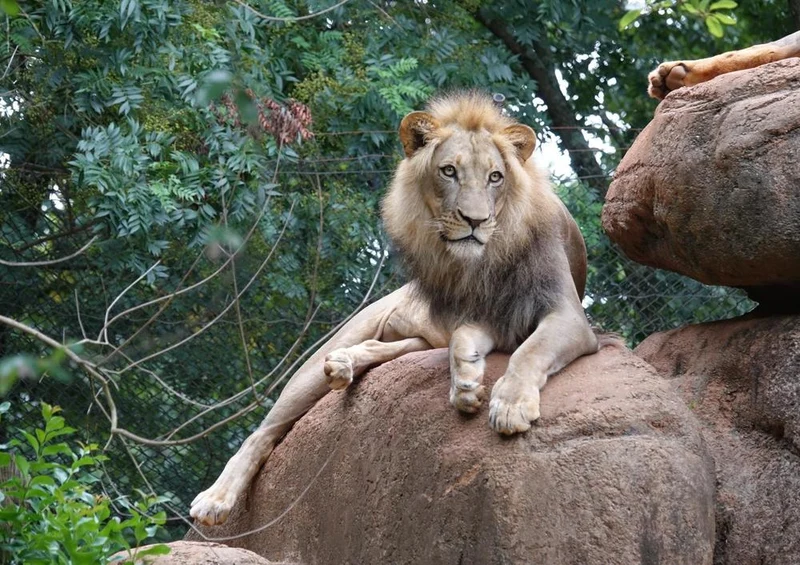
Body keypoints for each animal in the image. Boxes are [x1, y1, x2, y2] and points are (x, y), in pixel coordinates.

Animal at [190, 92, 603, 526]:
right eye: (449, 171)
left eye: (495, 177)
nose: (475, 221)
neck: (487, 260)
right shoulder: (484, 315)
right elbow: (465, 337)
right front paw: (467, 384)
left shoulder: (567, 316)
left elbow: (528, 351)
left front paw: (503, 402)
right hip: (327, 357)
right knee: (264, 430)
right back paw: (215, 499)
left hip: (417, 340)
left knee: (385, 348)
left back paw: (345, 365)